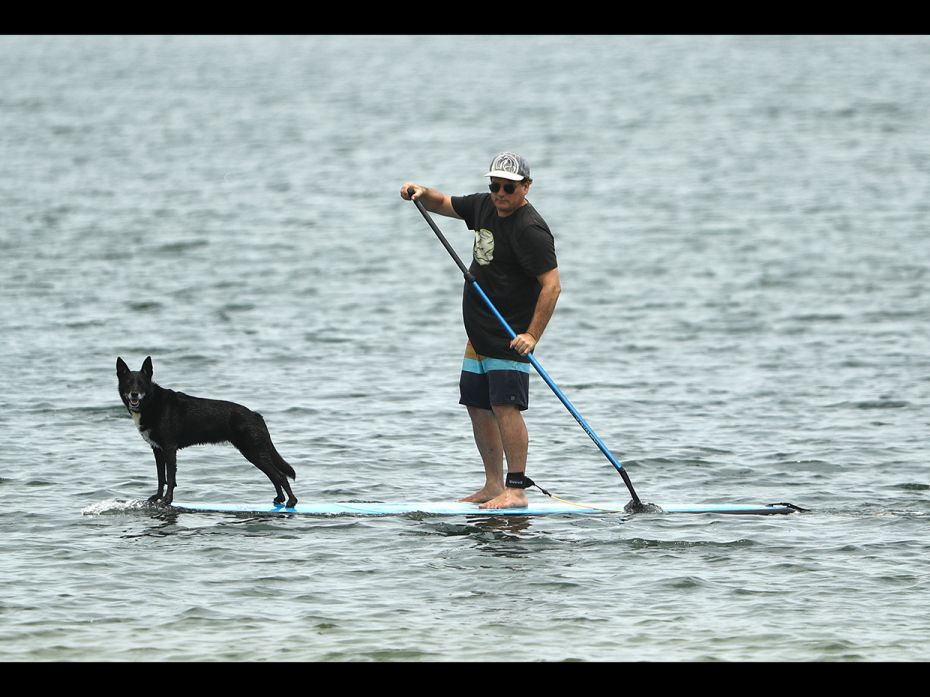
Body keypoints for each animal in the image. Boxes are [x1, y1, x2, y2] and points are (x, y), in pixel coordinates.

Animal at [116, 356, 298, 508]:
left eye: (141, 383)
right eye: (128, 382)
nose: (134, 394)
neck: (152, 402)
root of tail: (255, 415)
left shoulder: (169, 449)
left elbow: (170, 477)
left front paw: (167, 500)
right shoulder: (157, 450)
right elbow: (161, 477)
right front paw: (157, 497)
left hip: (253, 452)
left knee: (280, 476)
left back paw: (291, 501)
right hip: (253, 453)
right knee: (275, 476)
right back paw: (280, 499)